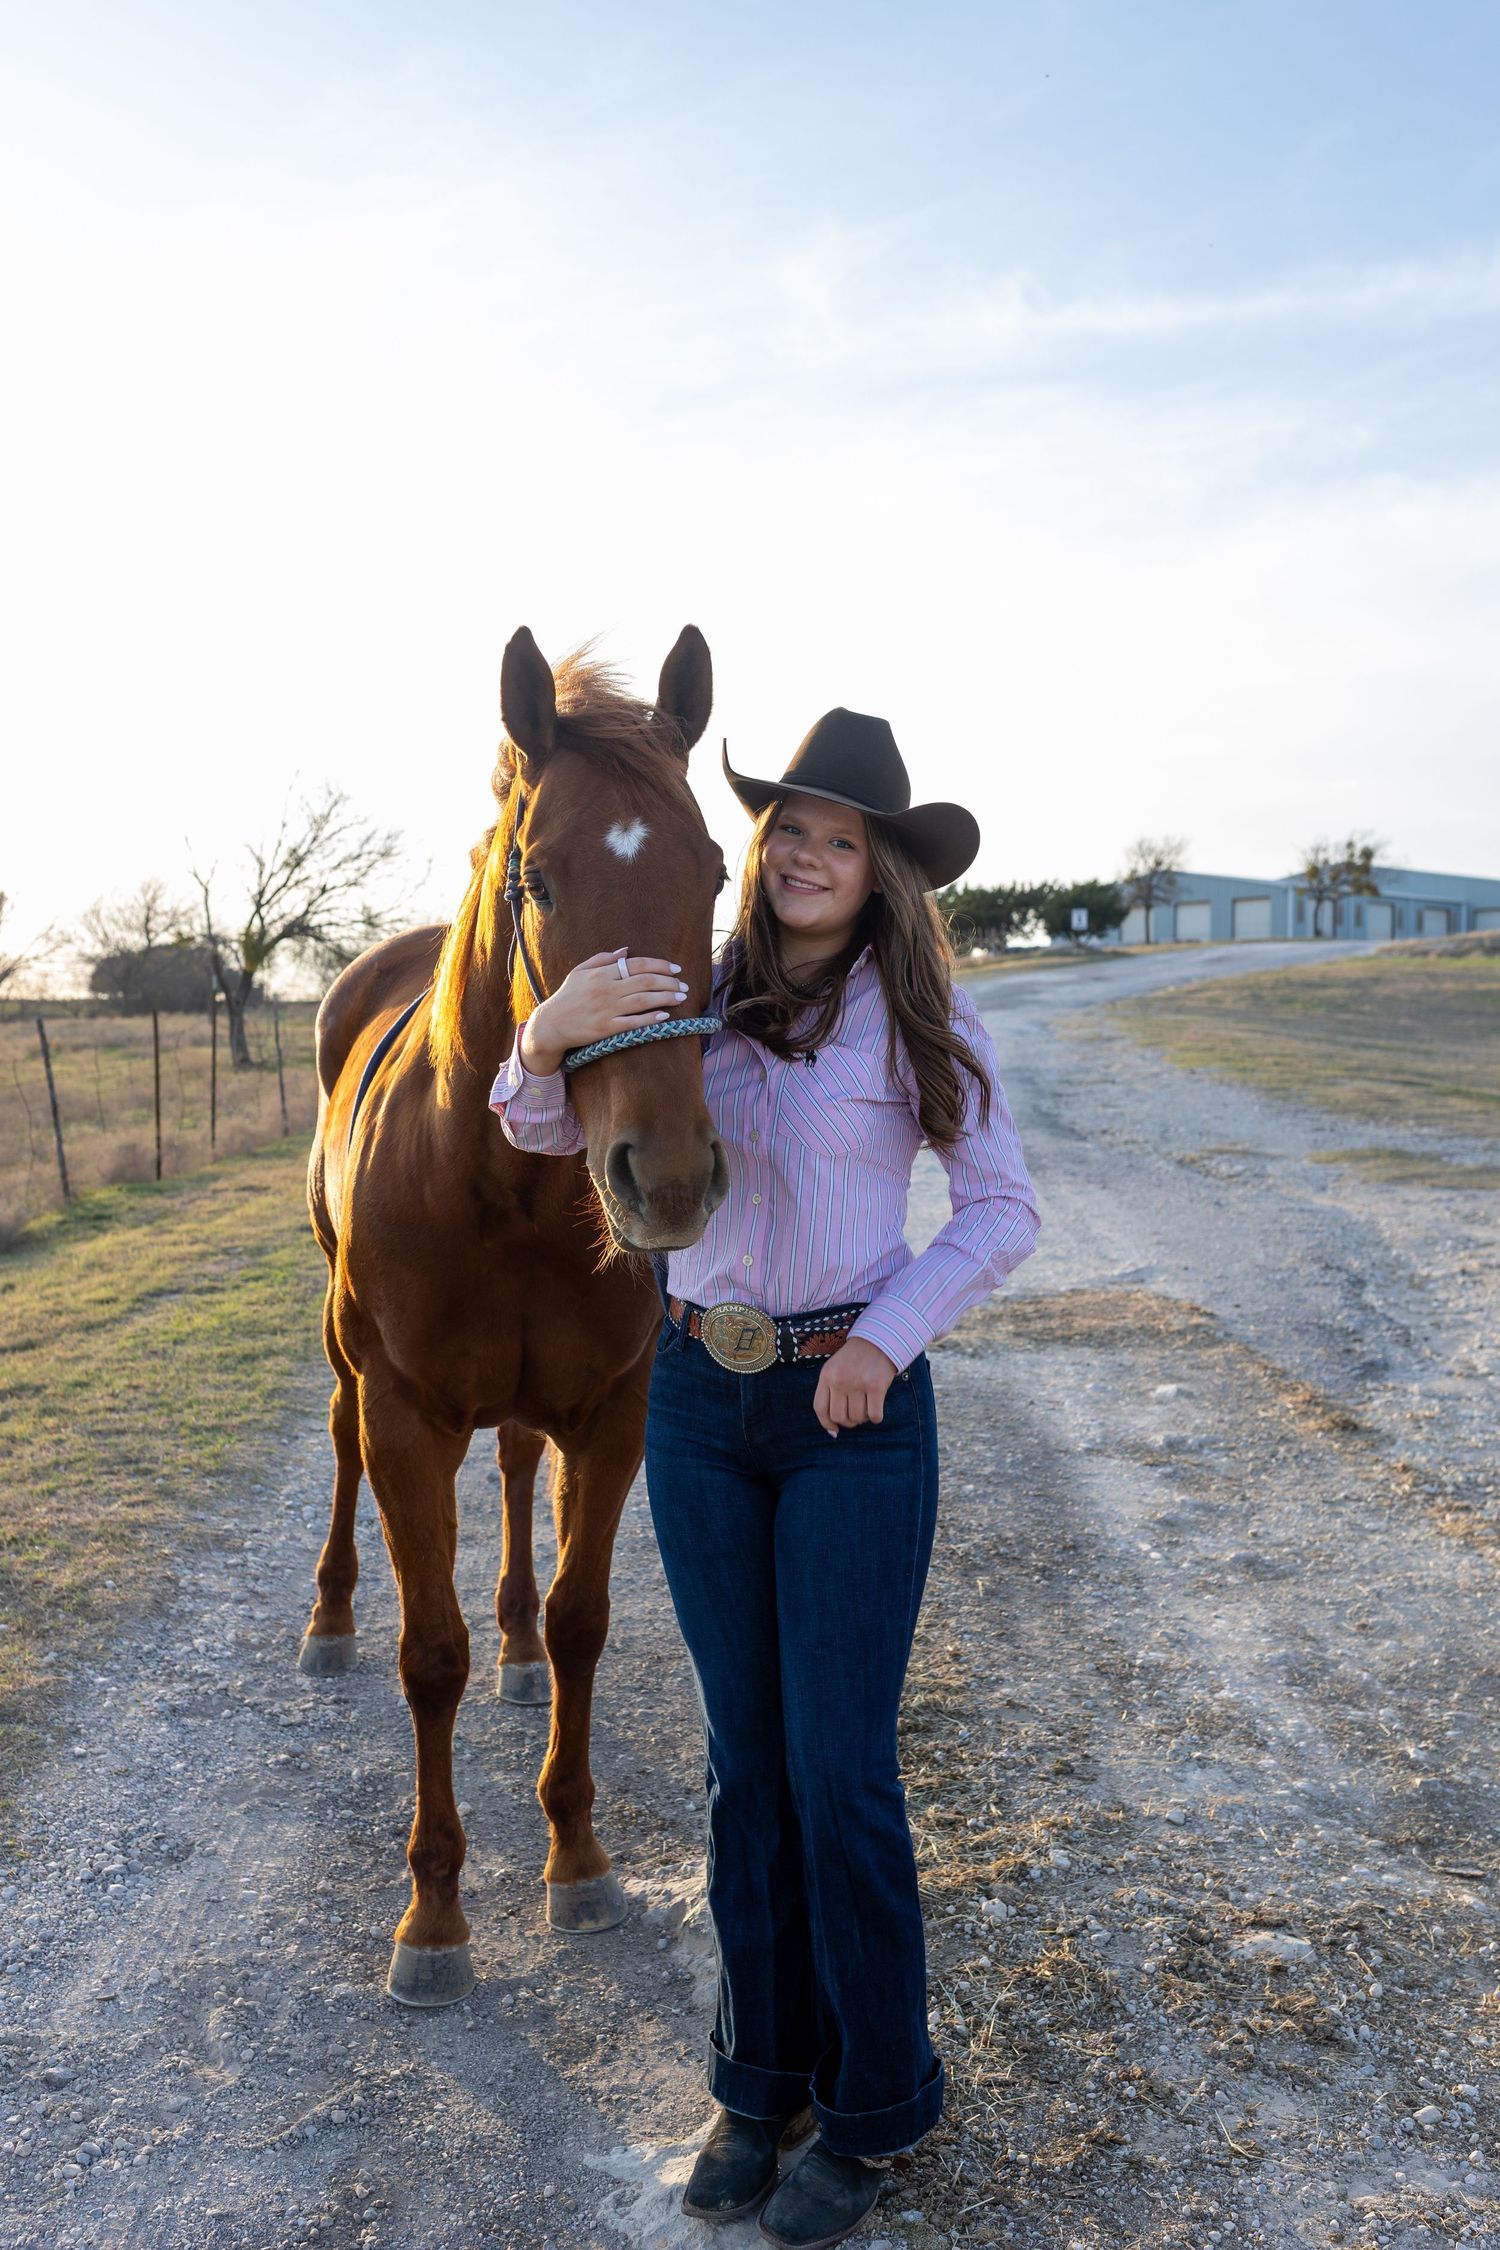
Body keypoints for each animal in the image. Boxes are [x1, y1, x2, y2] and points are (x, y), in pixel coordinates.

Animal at [301, 625, 727, 2006]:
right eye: (537, 881)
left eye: (717, 870)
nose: (670, 1177)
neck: (500, 1178)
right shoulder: (408, 1421)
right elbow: (426, 1657)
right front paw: (433, 1916)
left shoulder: (611, 1414)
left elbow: (585, 1622)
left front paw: (577, 1856)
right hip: (347, 1370)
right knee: (340, 1448)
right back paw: (328, 1617)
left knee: (518, 1472)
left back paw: (519, 1646)